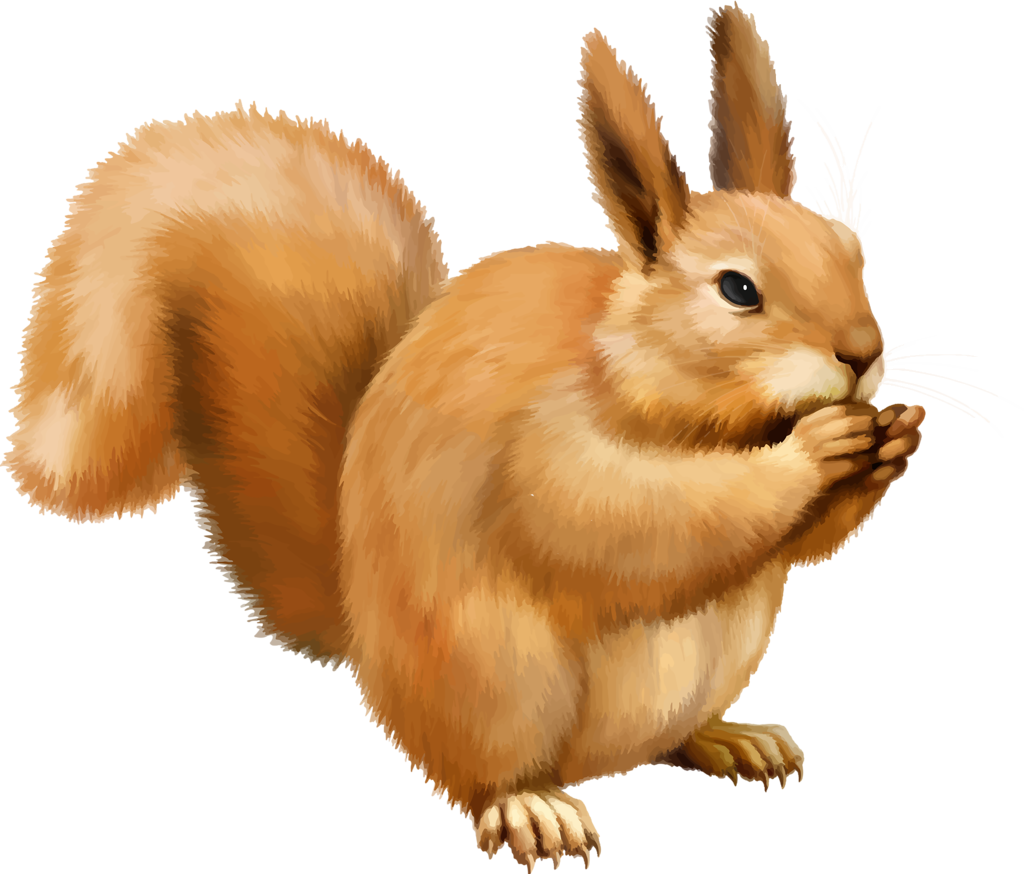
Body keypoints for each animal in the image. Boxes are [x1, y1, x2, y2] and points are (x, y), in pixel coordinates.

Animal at [3, 3, 927, 870]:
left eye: (851, 255)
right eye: (738, 289)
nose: (862, 354)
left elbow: (792, 548)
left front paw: (896, 440)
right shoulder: (546, 449)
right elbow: (632, 518)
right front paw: (817, 453)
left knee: (671, 737)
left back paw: (735, 738)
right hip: (494, 679)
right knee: (482, 772)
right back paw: (533, 808)